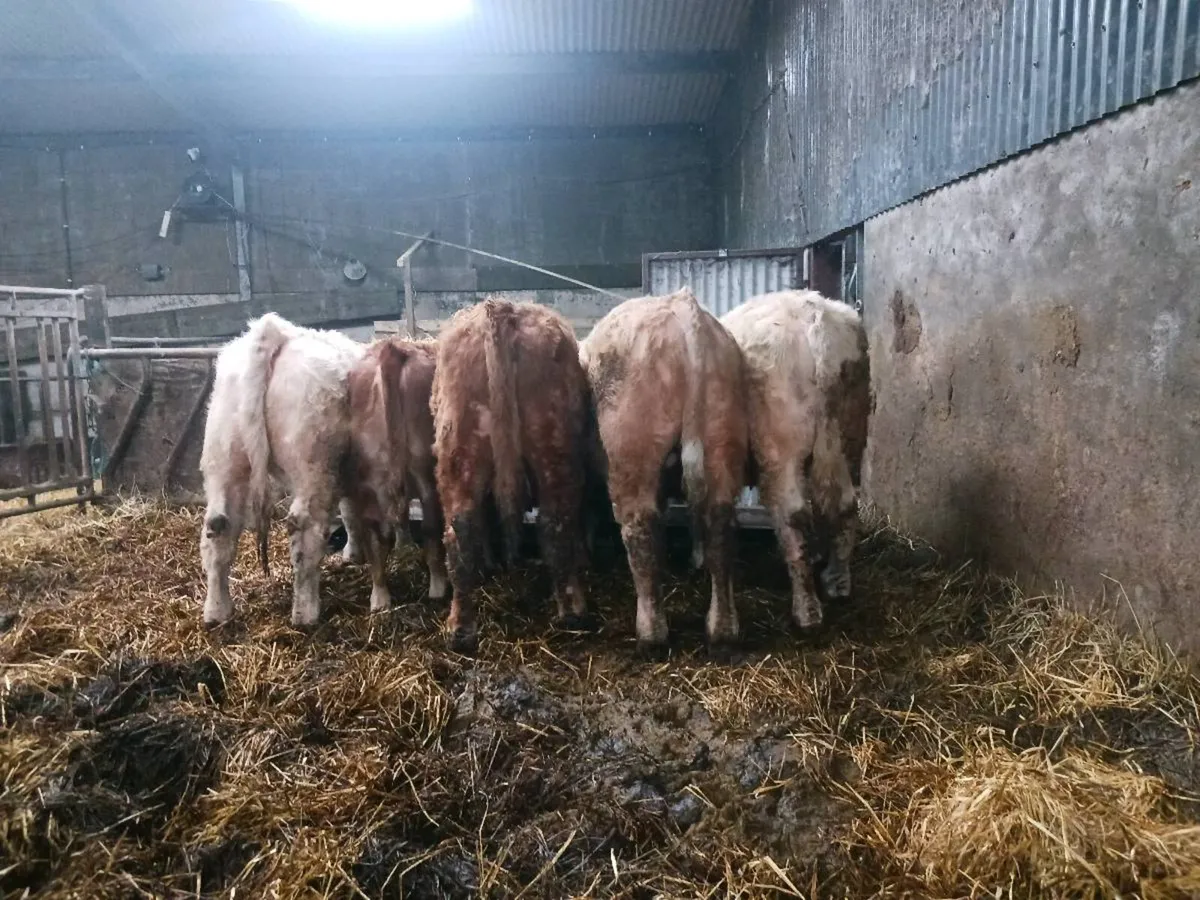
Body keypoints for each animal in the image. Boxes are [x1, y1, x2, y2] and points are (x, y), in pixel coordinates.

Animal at [199, 312, 369, 628]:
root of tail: (277, 333)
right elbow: (352, 511)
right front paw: (355, 553)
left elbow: (351, 511)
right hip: (313, 466)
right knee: (304, 529)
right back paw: (305, 612)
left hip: (224, 458)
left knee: (218, 526)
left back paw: (217, 611)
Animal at [341, 336, 448, 612]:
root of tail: (391, 350)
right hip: (425, 471)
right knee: (431, 527)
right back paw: (438, 587)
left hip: (368, 479)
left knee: (375, 534)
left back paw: (380, 599)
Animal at [431, 298, 592, 652]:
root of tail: (500, 308)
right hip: (554, 447)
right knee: (556, 522)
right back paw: (572, 610)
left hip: (461, 447)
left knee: (460, 529)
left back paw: (460, 629)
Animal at [579, 287, 750, 654]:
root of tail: (685, 308)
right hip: (722, 435)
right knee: (720, 525)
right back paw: (722, 629)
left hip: (633, 448)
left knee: (639, 529)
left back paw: (651, 633)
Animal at [719, 289, 871, 631]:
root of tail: (815, 321)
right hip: (848, 432)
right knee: (843, 506)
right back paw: (836, 580)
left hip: (780, 444)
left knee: (794, 516)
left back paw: (807, 609)